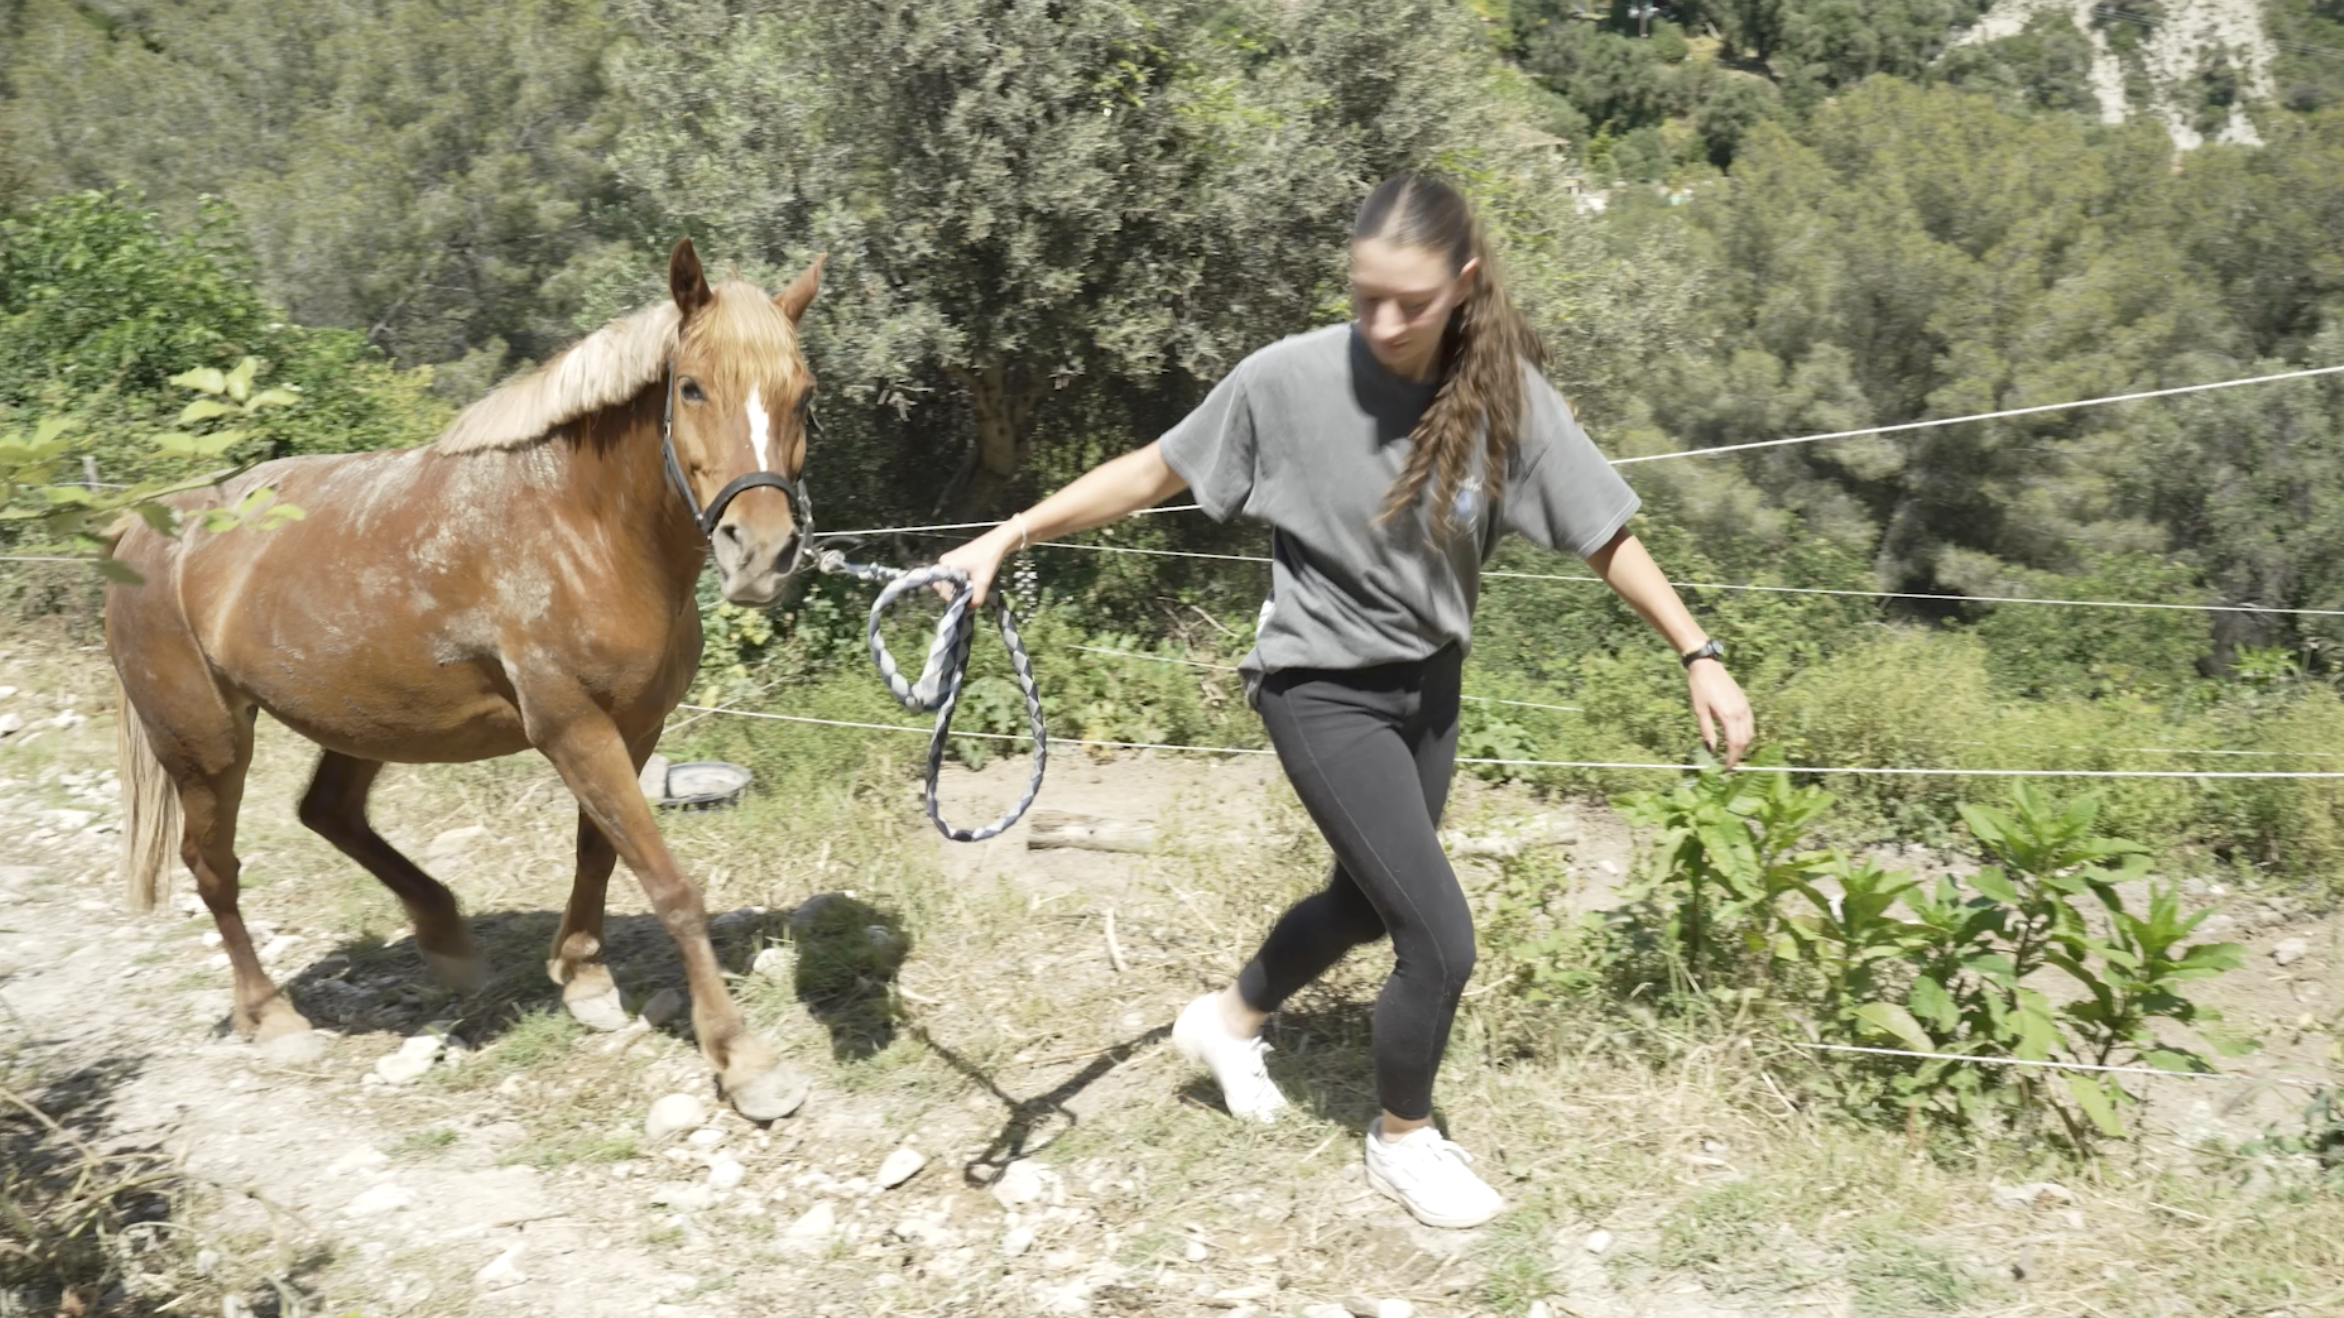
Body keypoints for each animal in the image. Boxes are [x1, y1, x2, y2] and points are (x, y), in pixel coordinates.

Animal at [107, 241, 825, 1111]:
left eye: (804, 397)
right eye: (691, 387)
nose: (762, 553)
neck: (582, 529)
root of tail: (141, 526)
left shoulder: (632, 728)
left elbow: (599, 853)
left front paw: (583, 978)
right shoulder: (573, 730)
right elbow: (671, 887)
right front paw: (743, 1060)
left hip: (365, 717)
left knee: (328, 813)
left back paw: (444, 934)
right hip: (206, 744)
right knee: (213, 868)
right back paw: (272, 1017)